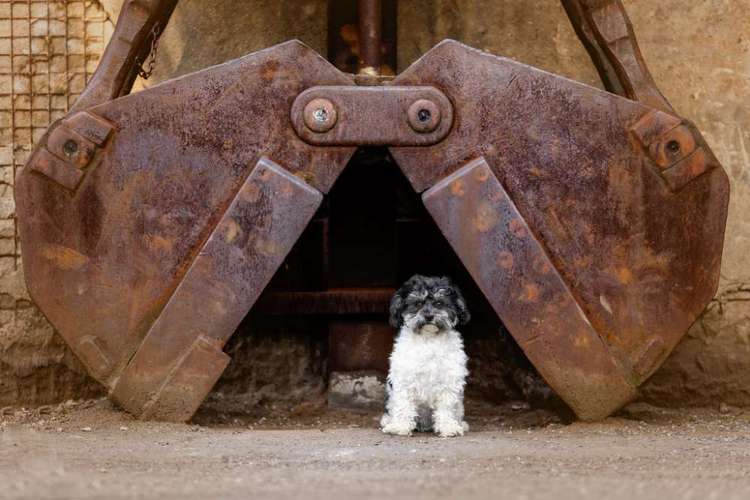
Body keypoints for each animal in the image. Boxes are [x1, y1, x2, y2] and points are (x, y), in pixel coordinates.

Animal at [382, 276, 470, 436]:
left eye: (439, 303)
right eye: (418, 304)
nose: (429, 316)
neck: (428, 339)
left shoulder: (449, 381)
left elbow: (447, 407)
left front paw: (448, 427)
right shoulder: (404, 380)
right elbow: (403, 405)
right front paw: (400, 426)